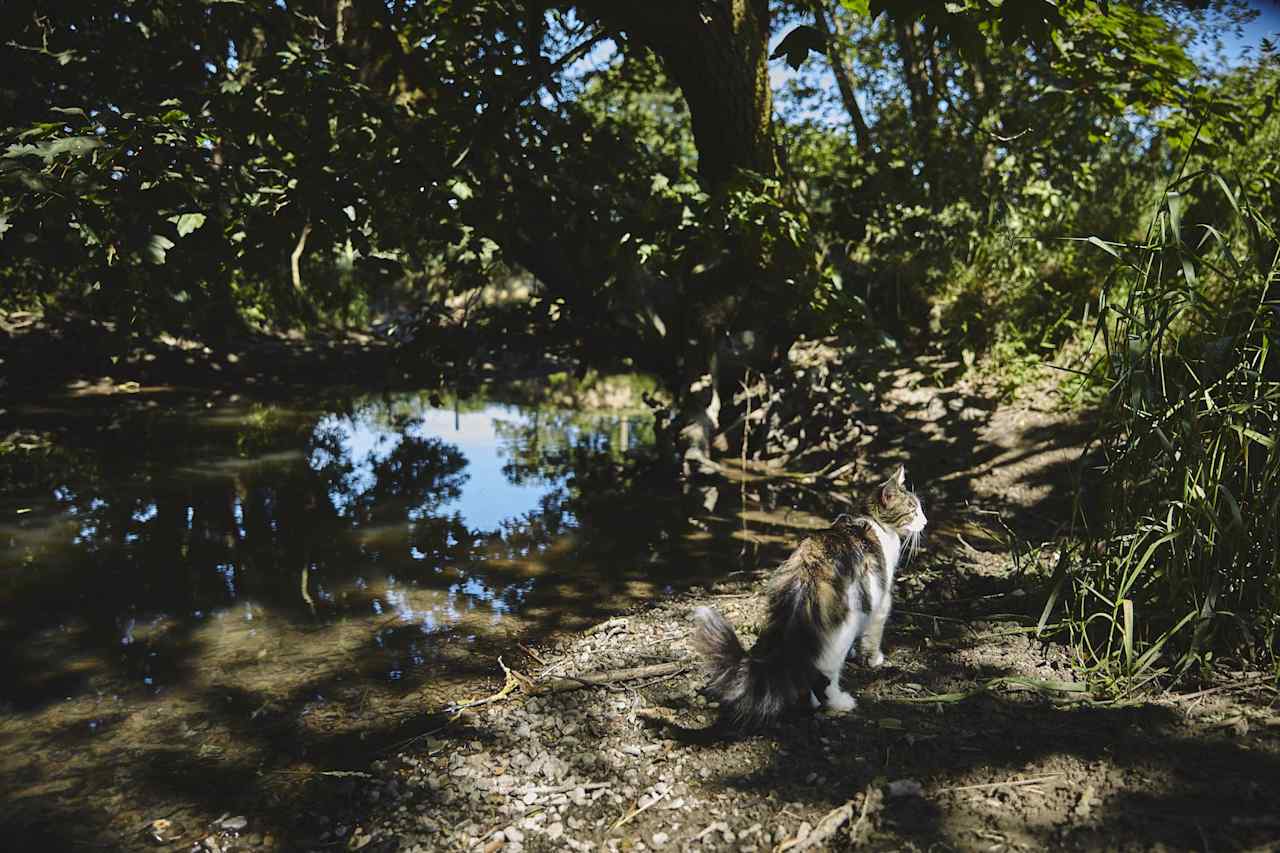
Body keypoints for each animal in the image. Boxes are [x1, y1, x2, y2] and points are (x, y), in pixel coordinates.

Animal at [696, 466, 926, 722]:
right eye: (913, 510)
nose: (925, 521)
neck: (871, 519)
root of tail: (807, 573)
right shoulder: (880, 600)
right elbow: (873, 636)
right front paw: (873, 659)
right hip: (841, 631)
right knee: (821, 674)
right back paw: (839, 703)